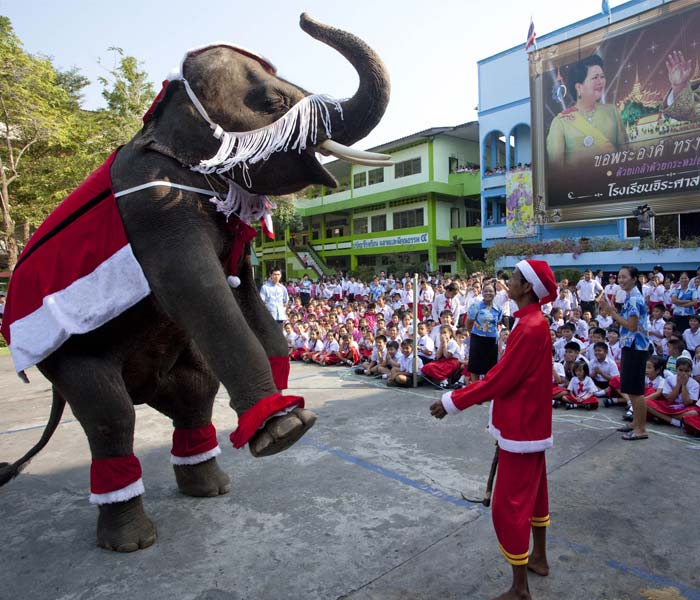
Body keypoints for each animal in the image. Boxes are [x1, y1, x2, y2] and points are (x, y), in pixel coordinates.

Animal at [0, 14, 392, 552]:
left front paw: (286, 397)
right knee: (110, 414)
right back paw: (132, 541)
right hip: (66, 358)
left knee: (193, 392)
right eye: (272, 103)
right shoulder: (154, 206)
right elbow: (199, 291)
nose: (304, 18)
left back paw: (209, 488)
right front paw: (287, 429)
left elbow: (241, 289)